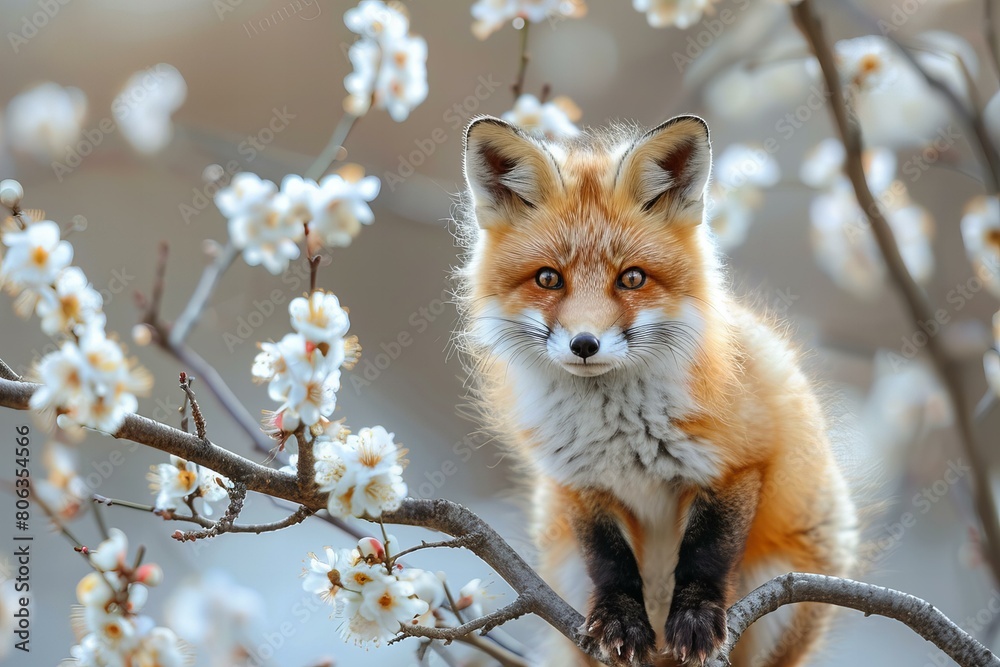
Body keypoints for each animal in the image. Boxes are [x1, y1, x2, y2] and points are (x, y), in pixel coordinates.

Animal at [454, 115, 859, 667]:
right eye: (549, 278)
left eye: (631, 278)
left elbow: (705, 554)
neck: (619, 430)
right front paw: (620, 621)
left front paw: (696, 618)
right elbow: (611, 564)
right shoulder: (582, 485)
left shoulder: (736, 465)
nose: (585, 344)